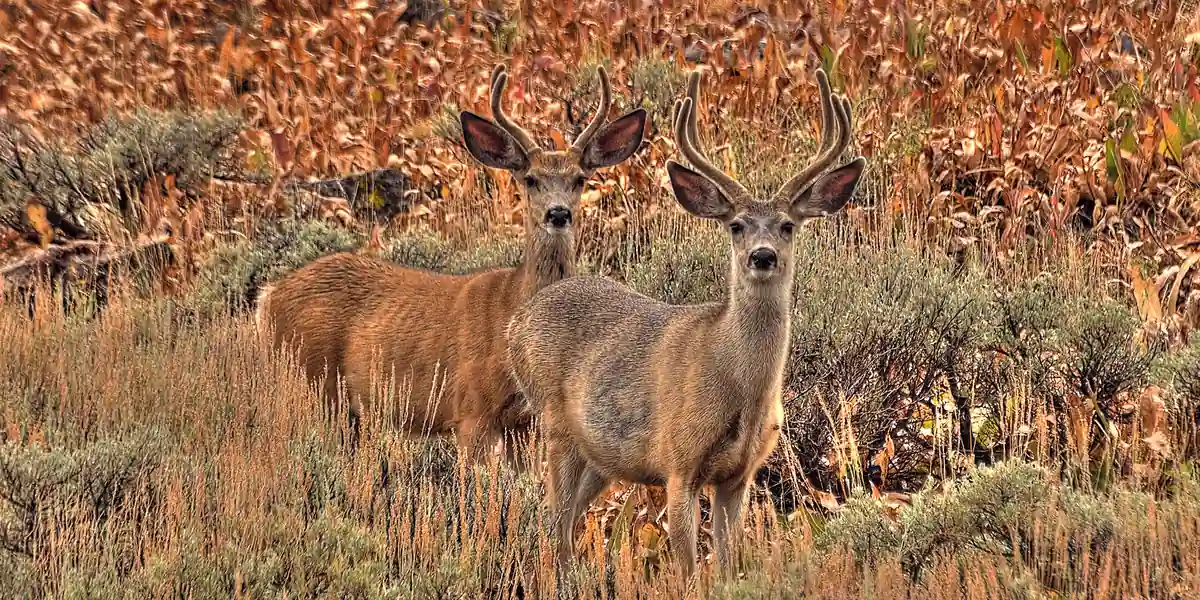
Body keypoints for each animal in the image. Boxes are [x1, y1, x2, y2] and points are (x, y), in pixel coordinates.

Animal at [255, 63, 648, 464]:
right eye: (530, 179)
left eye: (580, 179)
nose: (558, 214)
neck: (511, 308)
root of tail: (268, 296)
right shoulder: (469, 408)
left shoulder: (524, 424)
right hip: (311, 381)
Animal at [506, 67, 865, 579]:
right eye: (735, 225)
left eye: (787, 225)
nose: (762, 256)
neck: (737, 385)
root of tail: (519, 319)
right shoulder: (678, 461)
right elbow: (688, 566)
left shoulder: (740, 475)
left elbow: (728, 562)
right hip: (554, 424)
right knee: (553, 520)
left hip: (602, 456)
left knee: (567, 520)